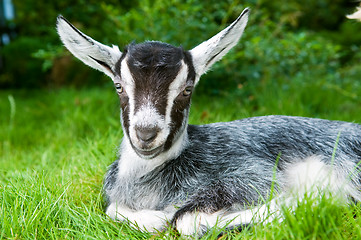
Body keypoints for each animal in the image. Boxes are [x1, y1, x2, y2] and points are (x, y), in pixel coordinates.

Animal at [56, 8, 360, 235]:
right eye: (118, 86)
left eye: (187, 89)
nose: (145, 133)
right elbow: (114, 210)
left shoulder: (252, 174)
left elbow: (185, 220)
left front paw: (307, 203)